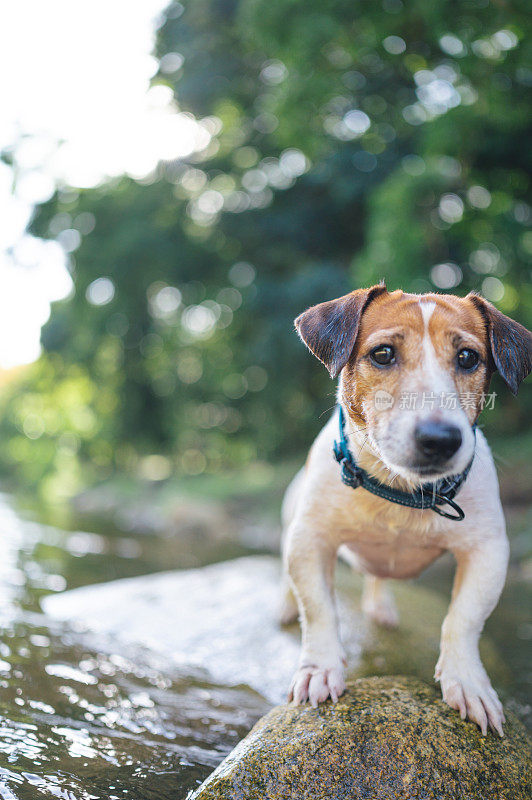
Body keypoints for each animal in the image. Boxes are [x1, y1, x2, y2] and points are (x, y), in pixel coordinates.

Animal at [280, 286, 528, 736]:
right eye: (382, 354)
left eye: (468, 357)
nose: (440, 438)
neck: (400, 491)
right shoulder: (311, 540)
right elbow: (319, 609)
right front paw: (320, 668)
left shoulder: (487, 552)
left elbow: (463, 619)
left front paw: (467, 682)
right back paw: (285, 604)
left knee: (378, 578)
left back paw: (382, 608)